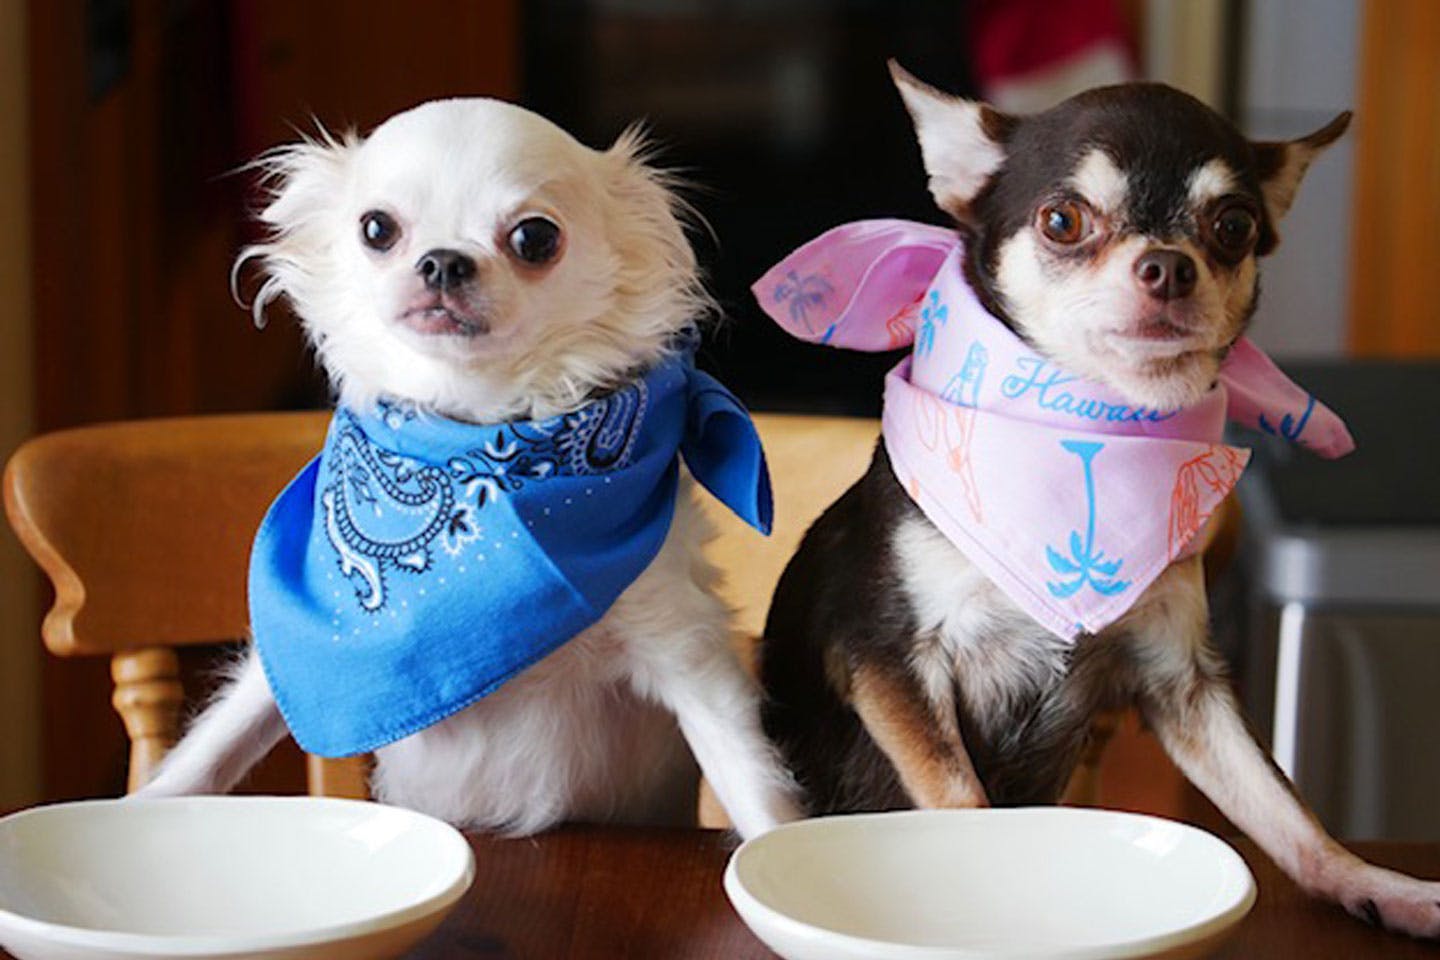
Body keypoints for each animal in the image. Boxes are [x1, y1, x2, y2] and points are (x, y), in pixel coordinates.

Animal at [137, 99, 800, 840]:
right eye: (377, 229)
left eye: (535, 238)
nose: (444, 262)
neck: (477, 442)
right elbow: (219, 740)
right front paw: (140, 809)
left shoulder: (681, 647)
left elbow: (748, 777)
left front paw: (775, 849)